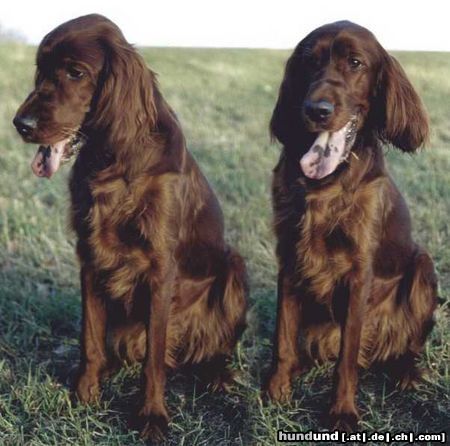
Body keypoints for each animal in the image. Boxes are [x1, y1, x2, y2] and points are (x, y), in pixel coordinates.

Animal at [13, 13, 250, 440]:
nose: (20, 123)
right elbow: (90, 340)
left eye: (76, 72)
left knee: (215, 347)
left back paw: (215, 373)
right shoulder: (91, 258)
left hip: (234, 268)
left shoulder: (160, 269)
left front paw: (151, 415)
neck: (115, 162)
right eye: (40, 69)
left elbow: (154, 358)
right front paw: (84, 395)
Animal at [266, 20, 438, 432]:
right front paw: (277, 389)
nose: (317, 110)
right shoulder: (290, 259)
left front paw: (342, 412)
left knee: (409, 343)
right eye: (309, 62)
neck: (326, 181)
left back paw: (406, 371)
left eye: (356, 63)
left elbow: (347, 356)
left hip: (424, 267)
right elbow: (282, 336)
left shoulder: (360, 274)